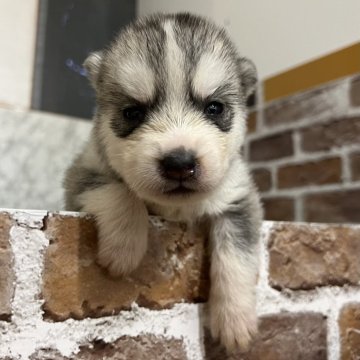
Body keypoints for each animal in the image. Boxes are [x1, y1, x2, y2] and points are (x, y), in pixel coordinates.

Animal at [64, 12, 262, 350]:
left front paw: (235, 319)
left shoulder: (239, 197)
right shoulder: (81, 174)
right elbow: (119, 191)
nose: (179, 164)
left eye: (215, 107)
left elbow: (237, 255)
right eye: (132, 112)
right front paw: (124, 247)